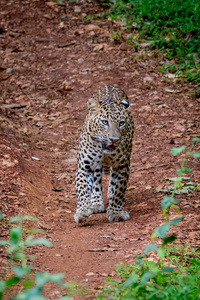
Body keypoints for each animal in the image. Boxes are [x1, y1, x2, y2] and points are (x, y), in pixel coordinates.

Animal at [74, 84, 134, 223]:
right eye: (105, 122)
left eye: (121, 123)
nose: (114, 139)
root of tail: (109, 85)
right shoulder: (84, 166)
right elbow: (82, 187)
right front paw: (82, 210)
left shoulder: (123, 165)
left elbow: (119, 188)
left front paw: (116, 212)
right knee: (96, 180)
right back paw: (96, 201)